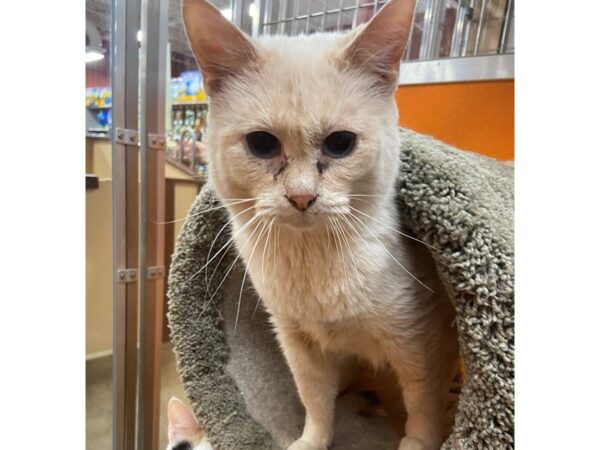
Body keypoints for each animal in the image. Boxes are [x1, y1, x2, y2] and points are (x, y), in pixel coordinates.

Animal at [183, 0, 460, 450]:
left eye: (340, 144)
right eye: (262, 144)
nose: (301, 197)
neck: (313, 261)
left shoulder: (419, 343)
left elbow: (422, 408)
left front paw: (417, 442)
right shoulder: (298, 343)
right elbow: (314, 401)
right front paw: (311, 441)